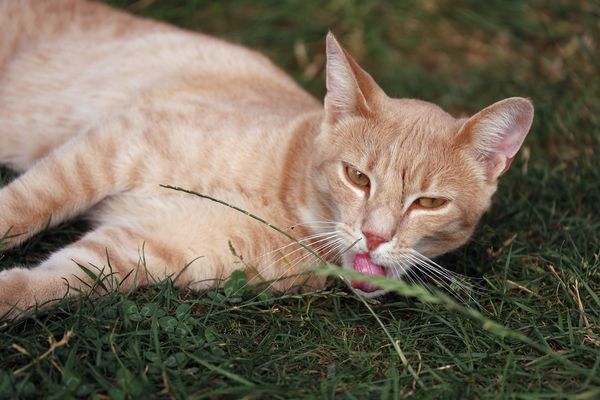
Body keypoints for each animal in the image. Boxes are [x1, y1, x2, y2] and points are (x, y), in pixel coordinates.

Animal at [0, 0, 536, 318]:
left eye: (428, 203)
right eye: (357, 177)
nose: (375, 236)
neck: (284, 210)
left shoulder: (141, 246)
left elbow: (54, 281)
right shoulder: (115, 142)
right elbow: (24, 207)